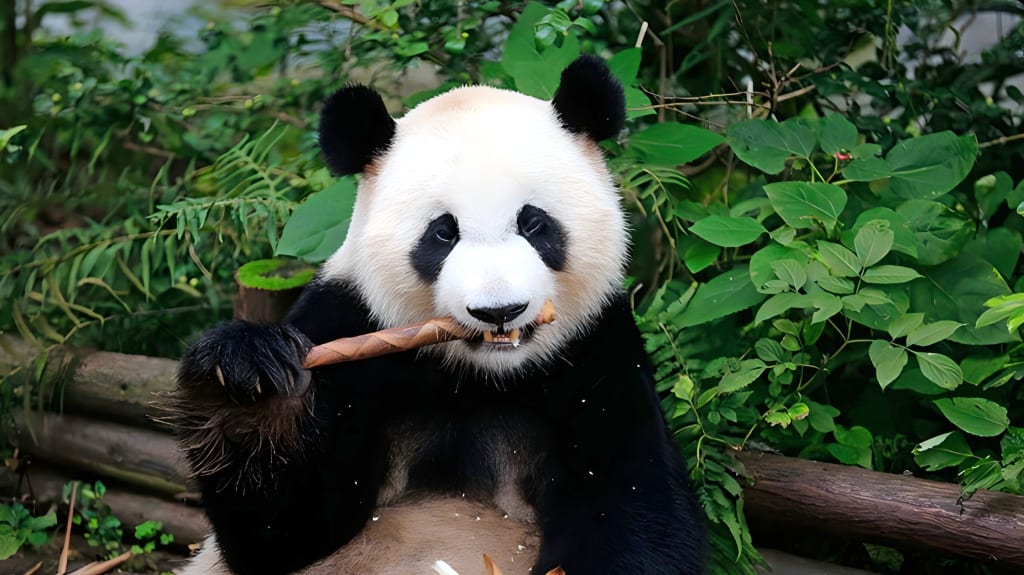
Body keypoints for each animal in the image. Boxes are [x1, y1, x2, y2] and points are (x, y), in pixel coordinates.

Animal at [170, 55, 705, 575]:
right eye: (443, 232)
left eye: (533, 223)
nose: (499, 311)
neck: (481, 375)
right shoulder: (346, 320)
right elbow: (283, 535)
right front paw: (248, 384)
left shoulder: (597, 352)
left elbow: (636, 515)